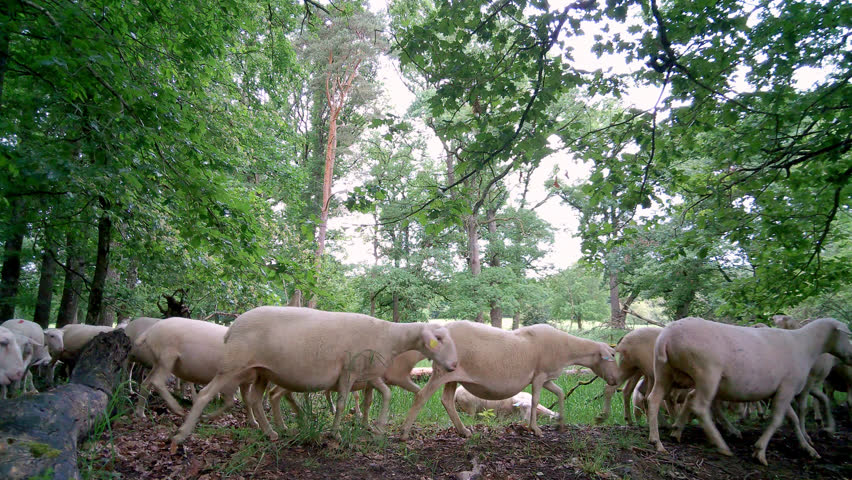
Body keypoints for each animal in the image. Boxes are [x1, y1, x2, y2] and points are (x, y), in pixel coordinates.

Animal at [170, 306, 458, 450]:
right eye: (438, 339)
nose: (454, 365)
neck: (389, 336)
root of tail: (231, 328)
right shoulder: (349, 371)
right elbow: (341, 404)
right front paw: (335, 434)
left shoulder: (368, 375)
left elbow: (383, 395)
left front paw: (377, 427)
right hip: (233, 365)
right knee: (206, 395)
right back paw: (182, 435)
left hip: (262, 371)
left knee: (255, 400)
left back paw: (271, 432)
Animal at [399, 321, 619, 440]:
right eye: (611, 356)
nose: (615, 381)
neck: (566, 349)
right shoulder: (539, 376)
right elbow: (536, 401)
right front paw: (535, 429)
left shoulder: (546, 377)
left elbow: (560, 393)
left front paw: (561, 423)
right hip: (441, 373)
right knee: (421, 396)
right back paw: (403, 433)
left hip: (451, 374)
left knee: (446, 400)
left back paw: (464, 432)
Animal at [646, 316, 852, 466]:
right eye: (847, 335)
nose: (850, 357)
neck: (806, 347)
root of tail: (666, 336)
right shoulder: (788, 387)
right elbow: (778, 419)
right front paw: (760, 451)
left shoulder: (781, 390)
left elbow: (792, 418)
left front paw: (808, 448)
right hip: (707, 373)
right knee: (700, 407)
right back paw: (722, 444)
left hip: (665, 371)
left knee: (654, 399)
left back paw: (661, 439)